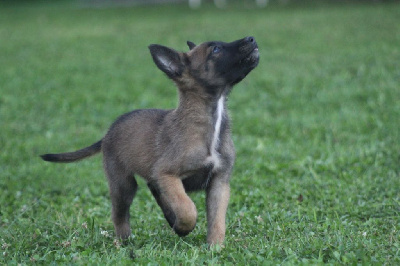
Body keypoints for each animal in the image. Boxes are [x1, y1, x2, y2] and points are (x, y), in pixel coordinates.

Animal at [41, 37, 260, 245]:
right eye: (215, 49)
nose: (251, 39)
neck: (210, 123)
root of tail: (108, 132)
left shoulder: (219, 183)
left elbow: (217, 221)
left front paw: (215, 248)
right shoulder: (167, 174)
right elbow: (187, 207)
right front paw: (185, 227)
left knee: (154, 189)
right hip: (123, 185)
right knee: (120, 214)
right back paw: (125, 241)